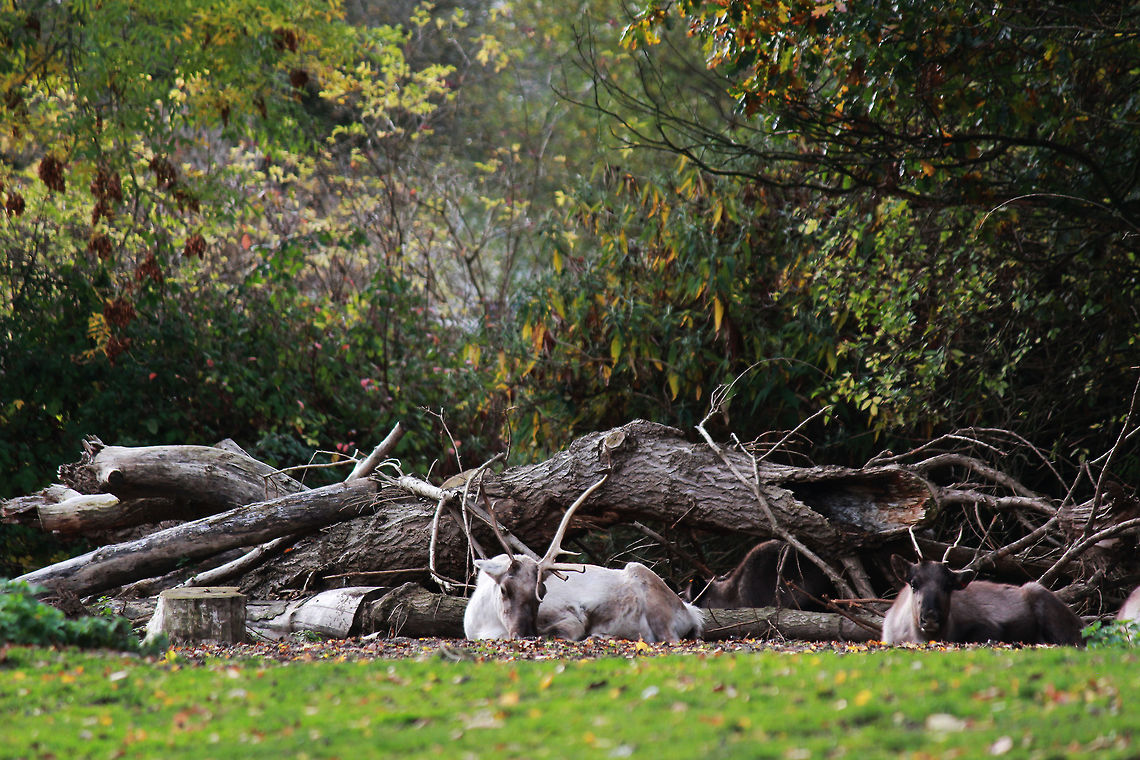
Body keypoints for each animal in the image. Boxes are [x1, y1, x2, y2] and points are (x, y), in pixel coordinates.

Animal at [462, 476, 704, 642]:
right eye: (504, 590)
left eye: (542, 592)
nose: (526, 634)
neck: (486, 624)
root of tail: (692, 613)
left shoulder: (572, 619)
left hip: (646, 583)